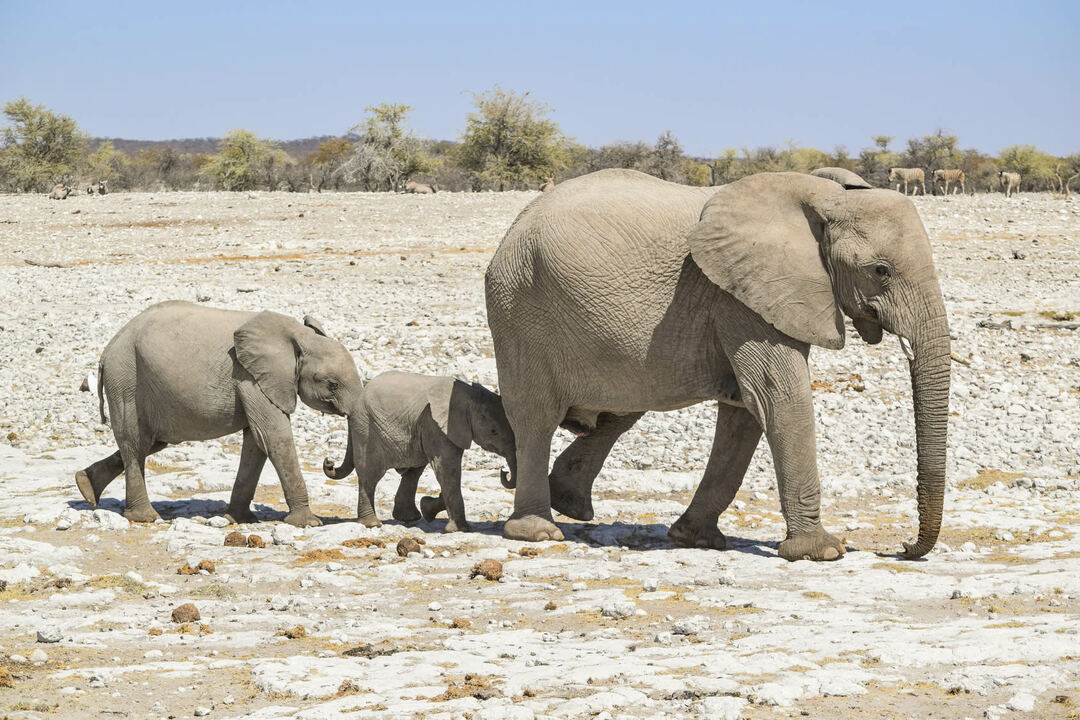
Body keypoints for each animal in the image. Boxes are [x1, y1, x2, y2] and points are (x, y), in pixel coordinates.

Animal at [76, 302, 365, 526]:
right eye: (332, 384)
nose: (328, 462)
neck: (297, 335)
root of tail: (107, 350)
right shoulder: (250, 376)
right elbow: (273, 436)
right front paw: (308, 523)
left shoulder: (254, 380)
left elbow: (256, 442)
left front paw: (239, 520)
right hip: (125, 380)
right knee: (135, 444)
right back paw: (145, 517)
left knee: (150, 443)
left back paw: (85, 487)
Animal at [321, 371, 516, 535]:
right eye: (493, 432)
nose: (503, 472)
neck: (469, 394)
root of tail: (356, 402)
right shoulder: (434, 424)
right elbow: (447, 469)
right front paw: (460, 529)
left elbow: (444, 472)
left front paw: (428, 508)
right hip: (366, 428)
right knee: (371, 475)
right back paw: (372, 524)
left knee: (414, 471)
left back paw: (409, 517)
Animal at [486, 170, 950, 561]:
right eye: (880, 271)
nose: (903, 548)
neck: (825, 197)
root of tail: (512, 231)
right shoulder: (740, 295)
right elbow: (777, 395)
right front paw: (822, 552)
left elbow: (745, 410)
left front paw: (696, 540)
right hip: (519, 307)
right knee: (536, 418)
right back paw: (538, 531)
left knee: (621, 410)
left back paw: (571, 505)